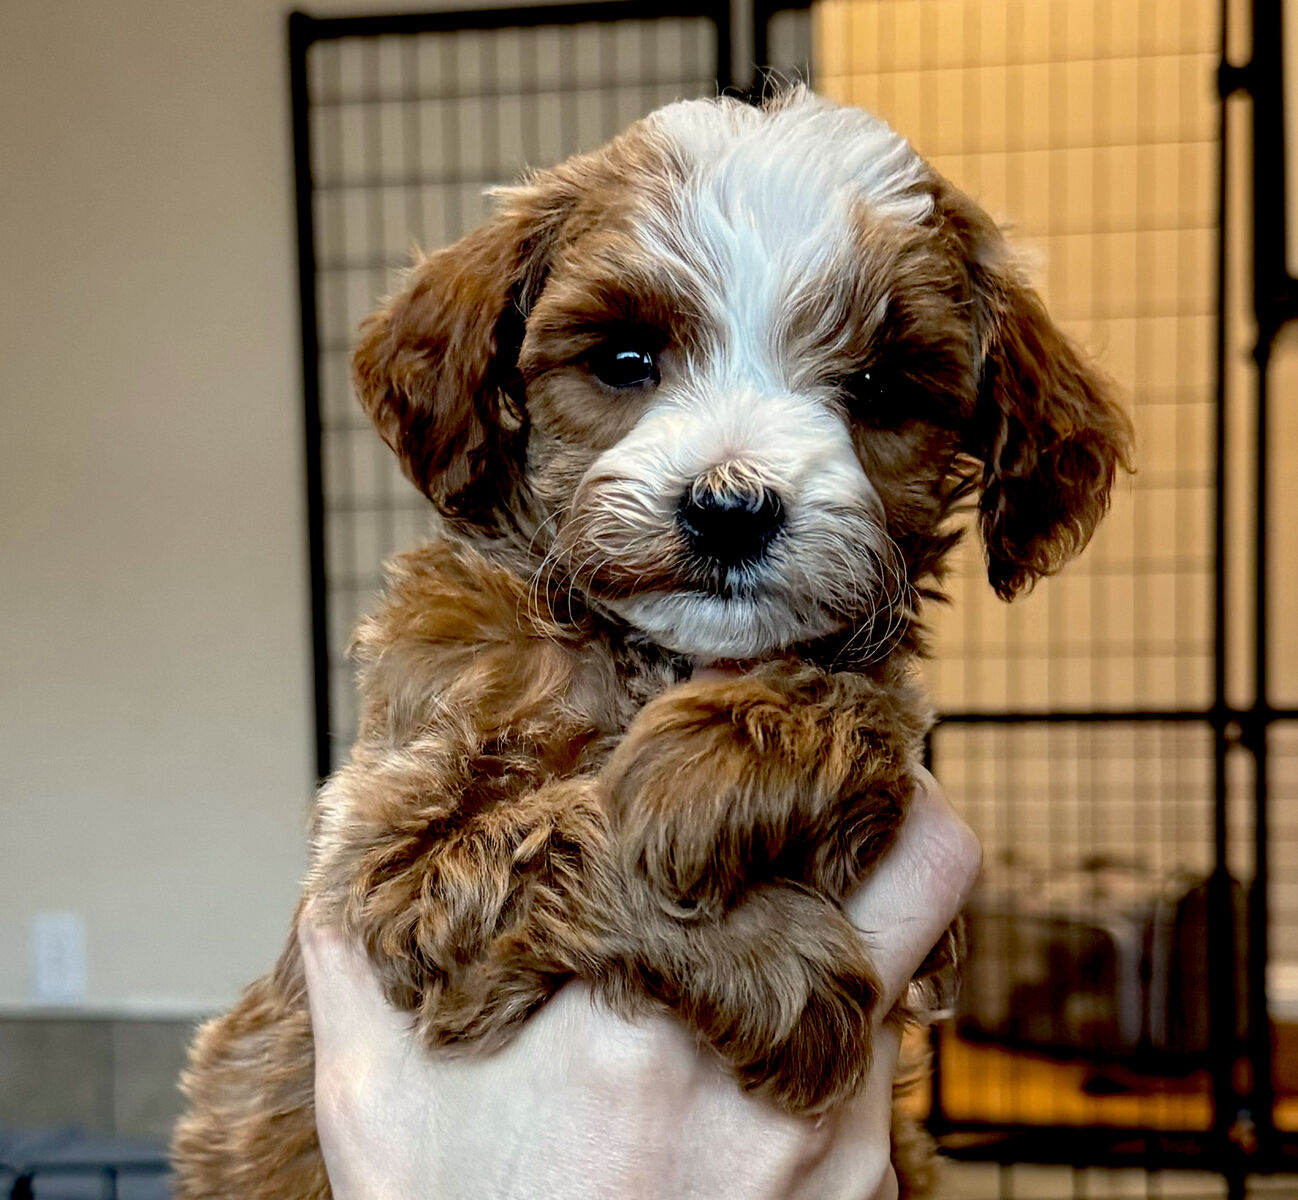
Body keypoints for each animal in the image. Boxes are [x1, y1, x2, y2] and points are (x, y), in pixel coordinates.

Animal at [172, 88, 1131, 1198]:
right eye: (625, 363)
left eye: (882, 390)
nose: (729, 508)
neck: (647, 656)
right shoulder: (392, 844)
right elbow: (546, 839)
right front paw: (786, 966)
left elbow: (857, 703)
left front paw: (717, 758)